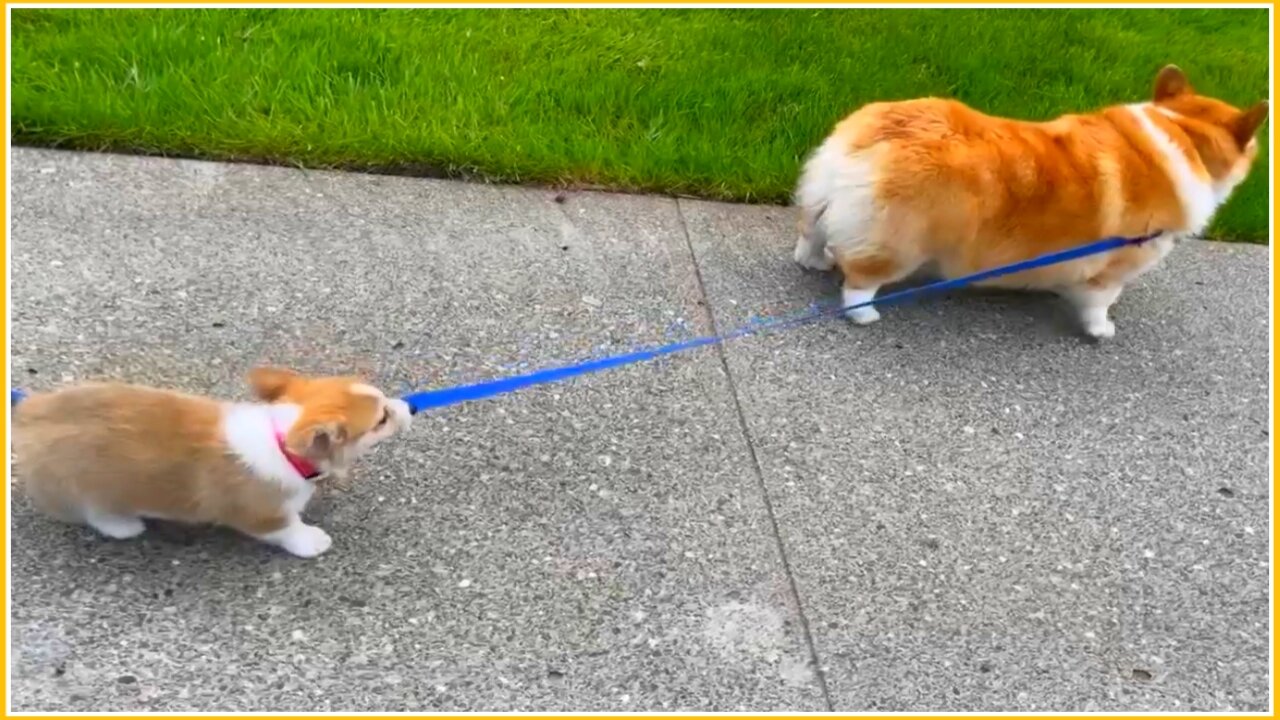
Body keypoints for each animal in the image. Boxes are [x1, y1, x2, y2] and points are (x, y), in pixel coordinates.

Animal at [12, 363, 412, 556]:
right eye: (381, 418)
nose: (409, 407)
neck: (281, 440)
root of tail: (28, 413)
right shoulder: (260, 514)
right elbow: (287, 527)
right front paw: (310, 541)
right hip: (81, 485)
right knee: (94, 512)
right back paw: (123, 525)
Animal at [793, 64, 1264, 335]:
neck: (1182, 133)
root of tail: (881, 132)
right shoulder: (1116, 267)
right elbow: (1100, 302)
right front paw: (1101, 331)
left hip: (821, 197)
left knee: (812, 235)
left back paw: (816, 261)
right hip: (900, 244)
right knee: (860, 282)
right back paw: (865, 314)